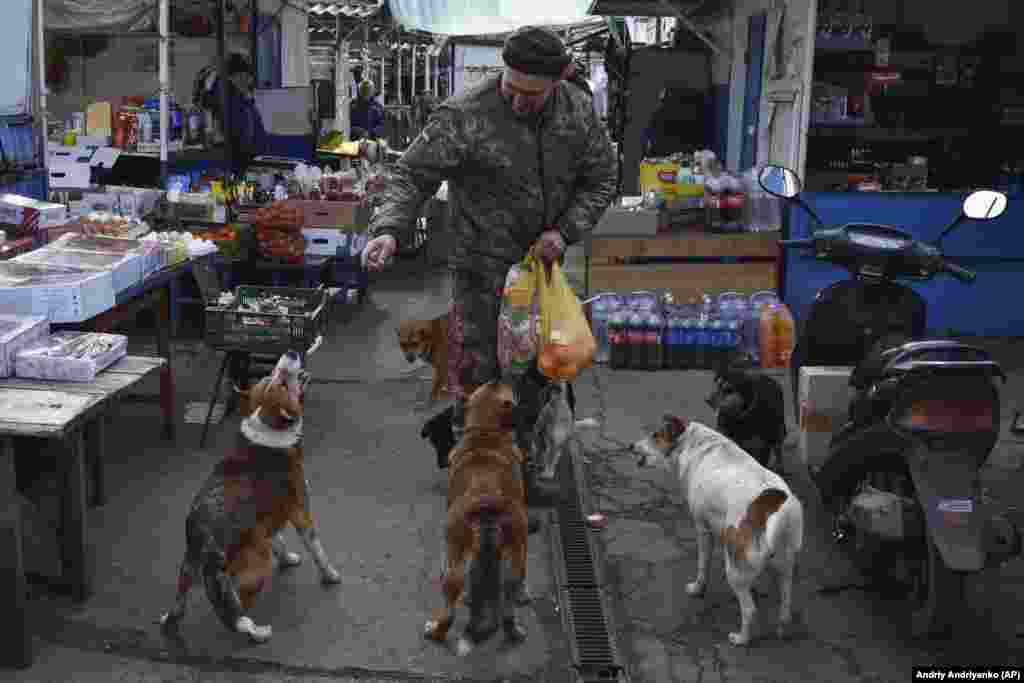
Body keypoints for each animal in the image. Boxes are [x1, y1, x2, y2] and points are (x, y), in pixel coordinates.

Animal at [159, 350, 342, 643]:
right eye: (280, 381)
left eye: (272, 375)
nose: (291, 353)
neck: (266, 428)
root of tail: (206, 537)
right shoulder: (301, 511)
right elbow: (317, 549)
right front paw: (330, 575)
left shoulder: (267, 519)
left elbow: (278, 540)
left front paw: (288, 559)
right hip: (256, 568)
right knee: (237, 614)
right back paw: (257, 632)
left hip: (187, 570)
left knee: (180, 608)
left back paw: (169, 620)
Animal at [423, 382, 532, 655]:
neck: (486, 430)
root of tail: (487, 505)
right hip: (515, 559)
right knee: (508, 609)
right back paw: (514, 632)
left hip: (456, 565)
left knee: (449, 613)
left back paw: (435, 631)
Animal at [626, 417, 802, 647]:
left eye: (655, 435)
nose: (630, 446)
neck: (694, 444)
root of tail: (779, 509)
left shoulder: (703, 530)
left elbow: (703, 565)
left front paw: (697, 589)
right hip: (785, 568)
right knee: (785, 604)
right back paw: (782, 628)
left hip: (734, 569)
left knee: (749, 610)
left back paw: (741, 638)